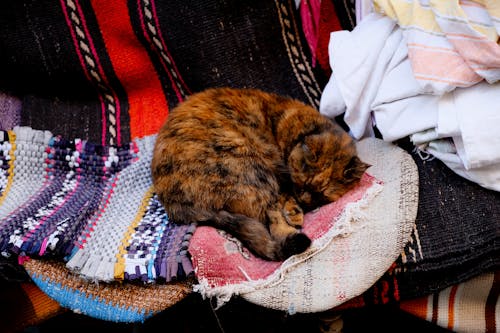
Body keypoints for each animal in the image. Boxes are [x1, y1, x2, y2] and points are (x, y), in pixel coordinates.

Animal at [150, 87, 370, 260]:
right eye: (303, 184)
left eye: (320, 195)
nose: (304, 200)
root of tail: (177, 205)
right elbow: (283, 197)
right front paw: (294, 212)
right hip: (251, 165)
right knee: (272, 221)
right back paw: (294, 232)